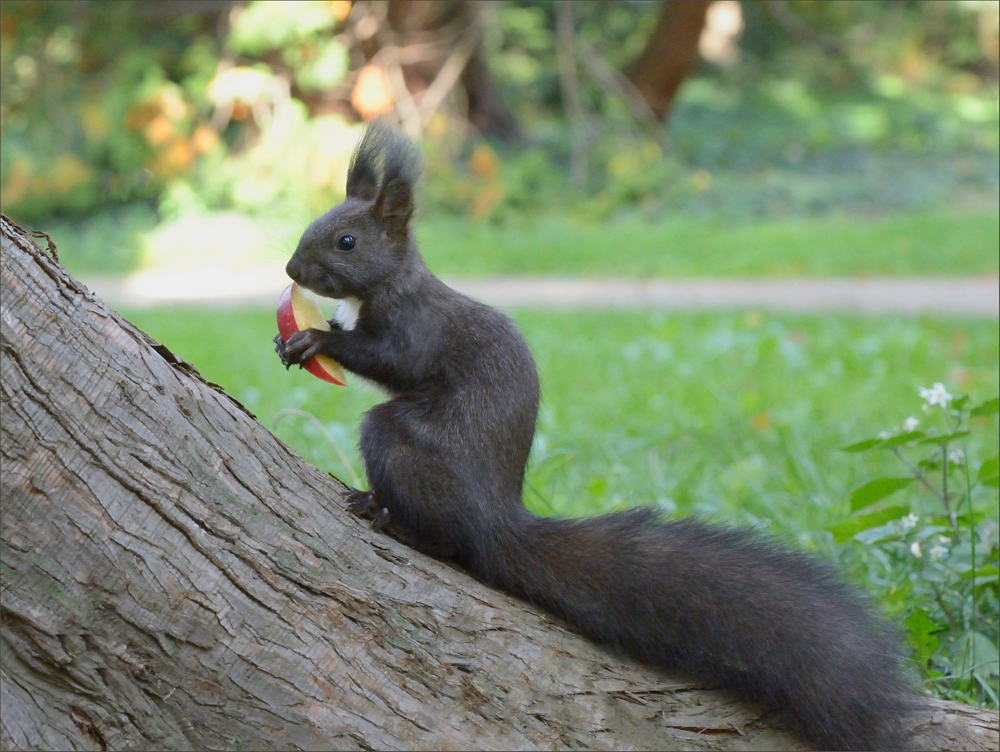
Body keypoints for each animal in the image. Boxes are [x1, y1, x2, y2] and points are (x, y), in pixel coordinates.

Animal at [274, 120, 916, 748]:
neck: (386, 287)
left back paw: (387, 514)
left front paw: (317, 339)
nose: (291, 271)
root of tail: (495, 516)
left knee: (450, 539)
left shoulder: (414, 328)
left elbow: (392, 361)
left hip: (402, 448)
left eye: (347, 241)